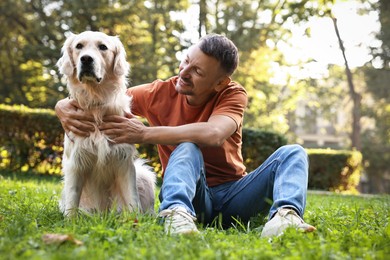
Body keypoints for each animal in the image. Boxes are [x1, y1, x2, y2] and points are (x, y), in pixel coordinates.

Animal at [56, 31, 155, 216]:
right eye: (79, 46)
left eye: (102, 47)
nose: (86, 59)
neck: (96, 103)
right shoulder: (75, 163)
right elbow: (72, 201)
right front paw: (69, 221)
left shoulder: (124, 161)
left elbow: (133, 200)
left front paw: (135, 221)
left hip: (143, 175)